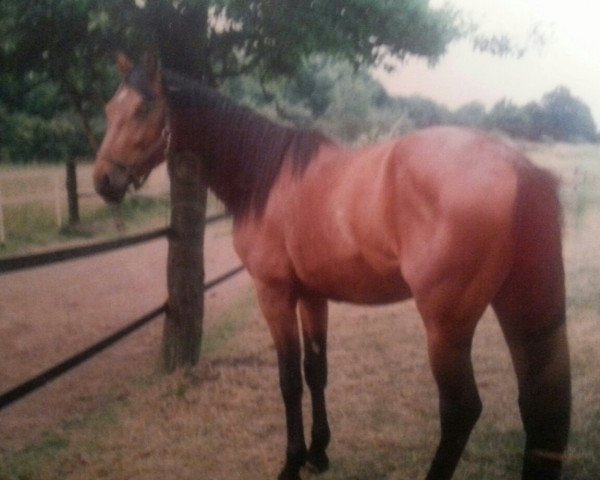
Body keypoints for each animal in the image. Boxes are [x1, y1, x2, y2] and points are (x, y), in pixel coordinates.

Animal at [94, 52, 572, 480]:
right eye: (109, 109)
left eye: (141, 109)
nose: (103, 181)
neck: (266, 177)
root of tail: (519, 168)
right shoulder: (312, 296)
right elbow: (316, 371)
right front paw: (318, 454)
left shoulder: (274, 295)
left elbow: (289, 379)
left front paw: (291, 463)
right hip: (523, 311)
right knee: (540, 407)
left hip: (446, 327)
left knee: (460, 410)